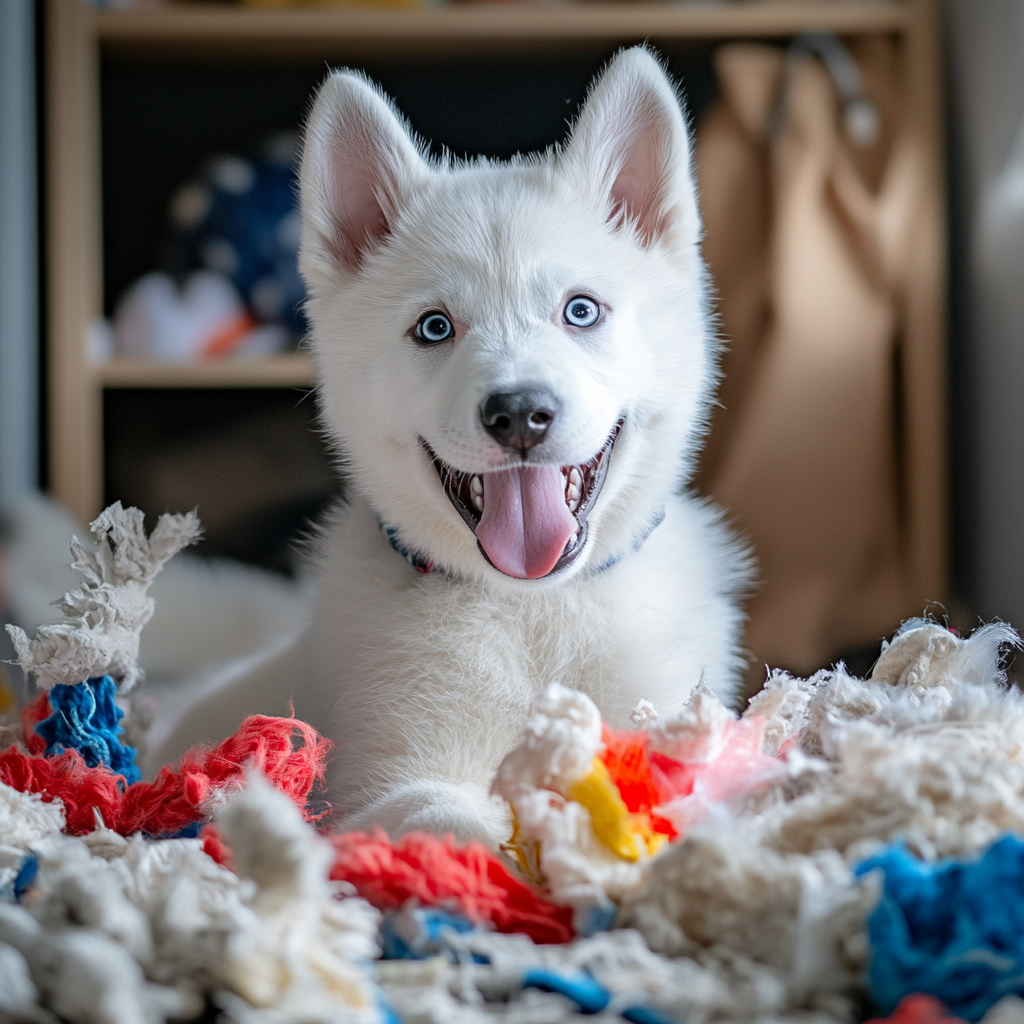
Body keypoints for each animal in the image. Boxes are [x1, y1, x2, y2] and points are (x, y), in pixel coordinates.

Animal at [159, 48, 753, 847]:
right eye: (434, 328)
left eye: (581, 311)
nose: (521, 414)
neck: (535, 610)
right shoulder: (377, 784)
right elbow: (453, 818)